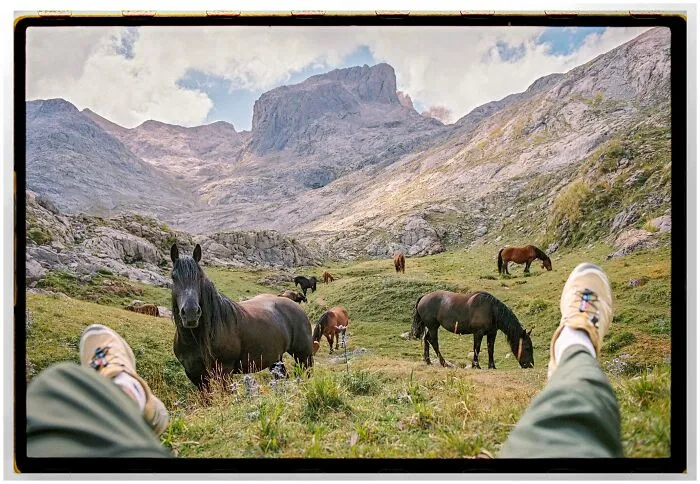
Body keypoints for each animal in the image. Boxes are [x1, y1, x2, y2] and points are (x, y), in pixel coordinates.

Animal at [170, 243, 314, 390]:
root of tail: (296, 306)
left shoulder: (224, 373)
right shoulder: (195, 376)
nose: (191, 313)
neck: (195, 339)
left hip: (303, 356)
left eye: (199, 276)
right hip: (275, 359)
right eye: (173, 277)